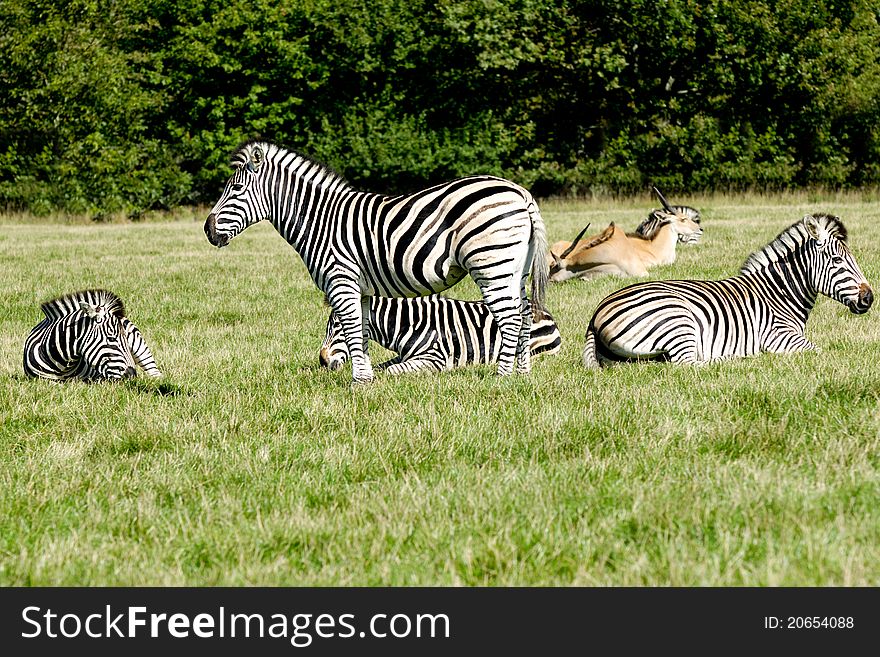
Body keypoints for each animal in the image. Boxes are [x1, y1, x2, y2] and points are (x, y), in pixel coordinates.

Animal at [320, 294, 560, 374]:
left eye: (339, 326)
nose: (322, 361)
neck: (408, 323)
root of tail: (542, 309)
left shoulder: (434, 358)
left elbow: (391, 371)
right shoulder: (406, 355)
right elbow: (383, 366)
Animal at [584, 215, 872, 368]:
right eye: (837, 260)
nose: (869, 298)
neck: (779, 294)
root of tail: (596, 313)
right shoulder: (778, 336)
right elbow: (822, 351)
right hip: (677, 320)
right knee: (688, 363)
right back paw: (740, 357)